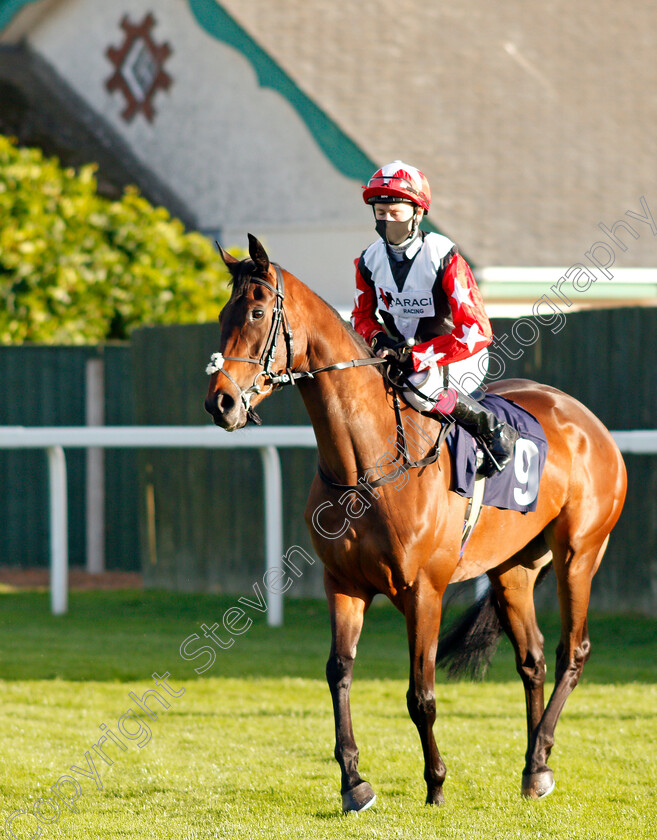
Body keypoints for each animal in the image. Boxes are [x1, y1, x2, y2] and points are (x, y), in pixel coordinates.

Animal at [204, 233, 624, 812]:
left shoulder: (424, 590)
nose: (220, 402)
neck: (368, 465)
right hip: (513, 568)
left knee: (572, 652)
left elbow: (420, 694)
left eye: (258, 312)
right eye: (224, 313)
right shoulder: (344, 584)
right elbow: (338, 672)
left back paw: (541, 752)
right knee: (532, 657)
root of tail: (587, 421)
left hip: (579, 553)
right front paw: (354, 783)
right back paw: (534, 767)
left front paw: (436, 782)